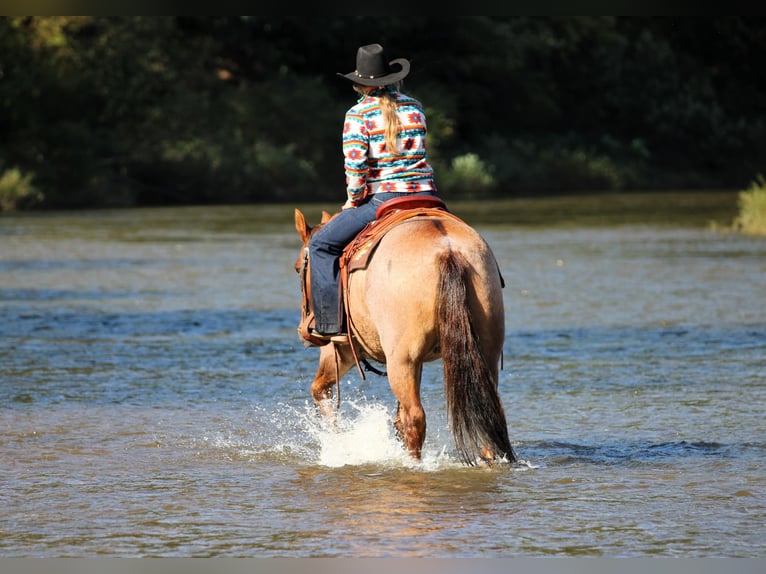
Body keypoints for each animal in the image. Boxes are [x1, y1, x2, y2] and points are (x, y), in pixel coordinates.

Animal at [293, 202, 516, 466]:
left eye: (297, 268)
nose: (304, 330)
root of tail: (448, 250)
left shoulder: (342, 349)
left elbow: (319, 390)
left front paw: (339, 443)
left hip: (401, 361)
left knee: (415, 418)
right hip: (483, 351)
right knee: (487, 410)